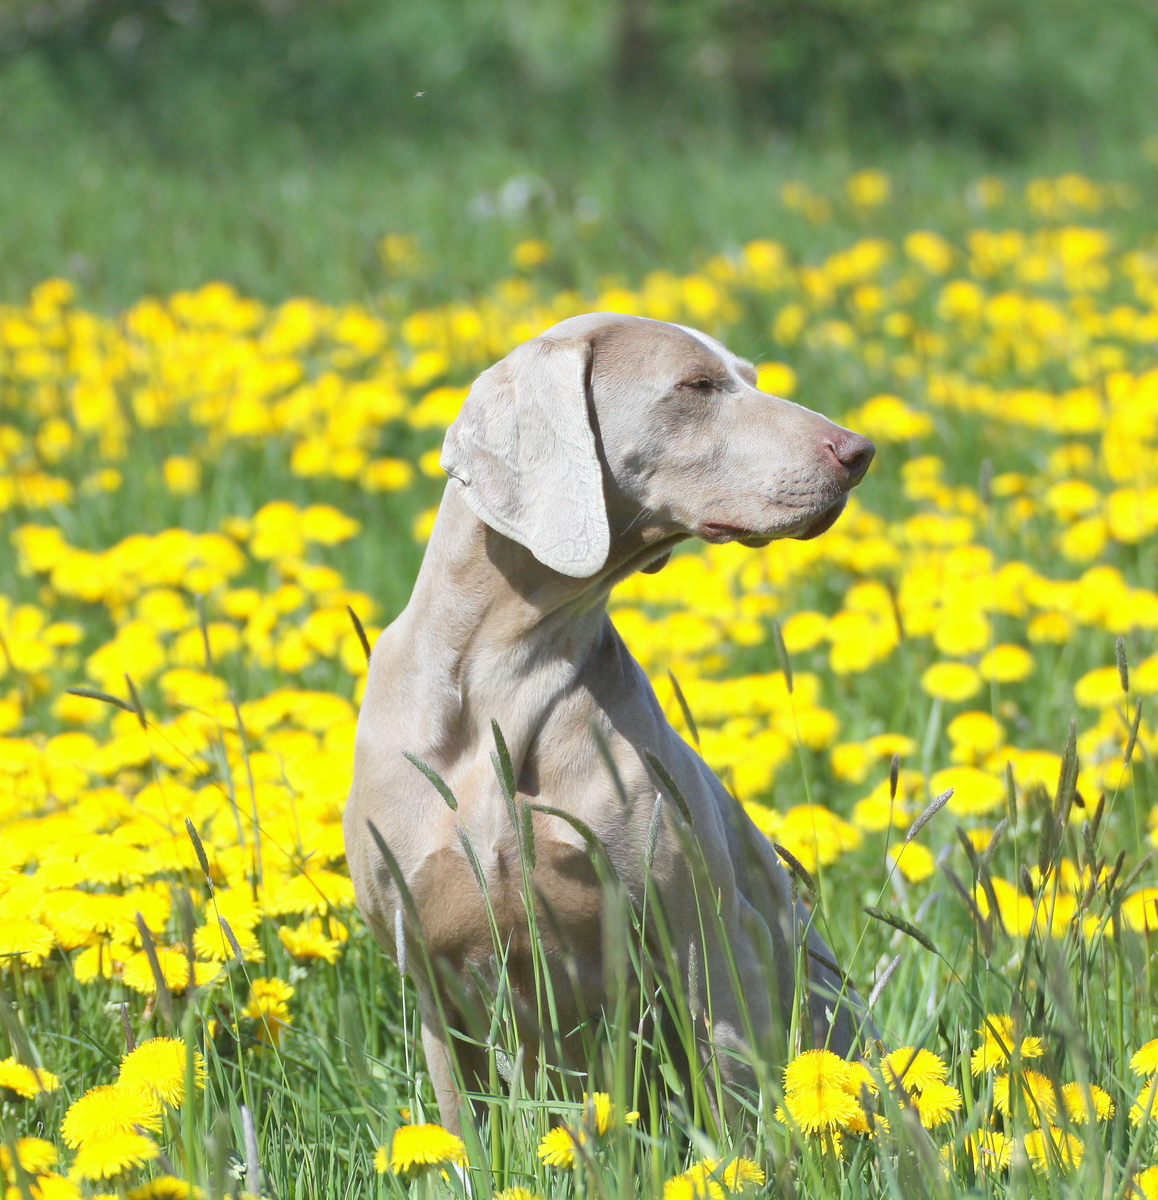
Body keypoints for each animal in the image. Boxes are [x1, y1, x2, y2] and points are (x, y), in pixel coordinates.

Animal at [340, 314, 868, 1128]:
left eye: (748, 377)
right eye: (698, 385)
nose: (860, 451)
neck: (503, 680)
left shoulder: (701, 943)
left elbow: (734, 1105)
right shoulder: (431, 975)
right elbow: (465, 1128)